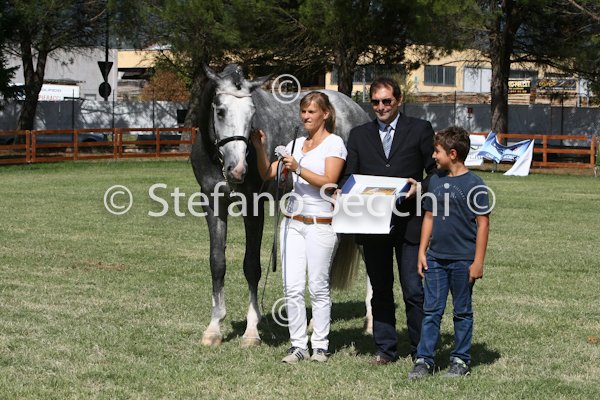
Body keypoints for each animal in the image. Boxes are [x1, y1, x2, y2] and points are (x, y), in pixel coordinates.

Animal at [191, 64, 371, 347]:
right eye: (220, 111)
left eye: (252, 113)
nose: (237, 169)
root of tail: (356, 109)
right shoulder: (211, 203)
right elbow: (217, 263)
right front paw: (214, 329)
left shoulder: (253, 205)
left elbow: (251, 266)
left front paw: (251, 331)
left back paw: (370, 323)